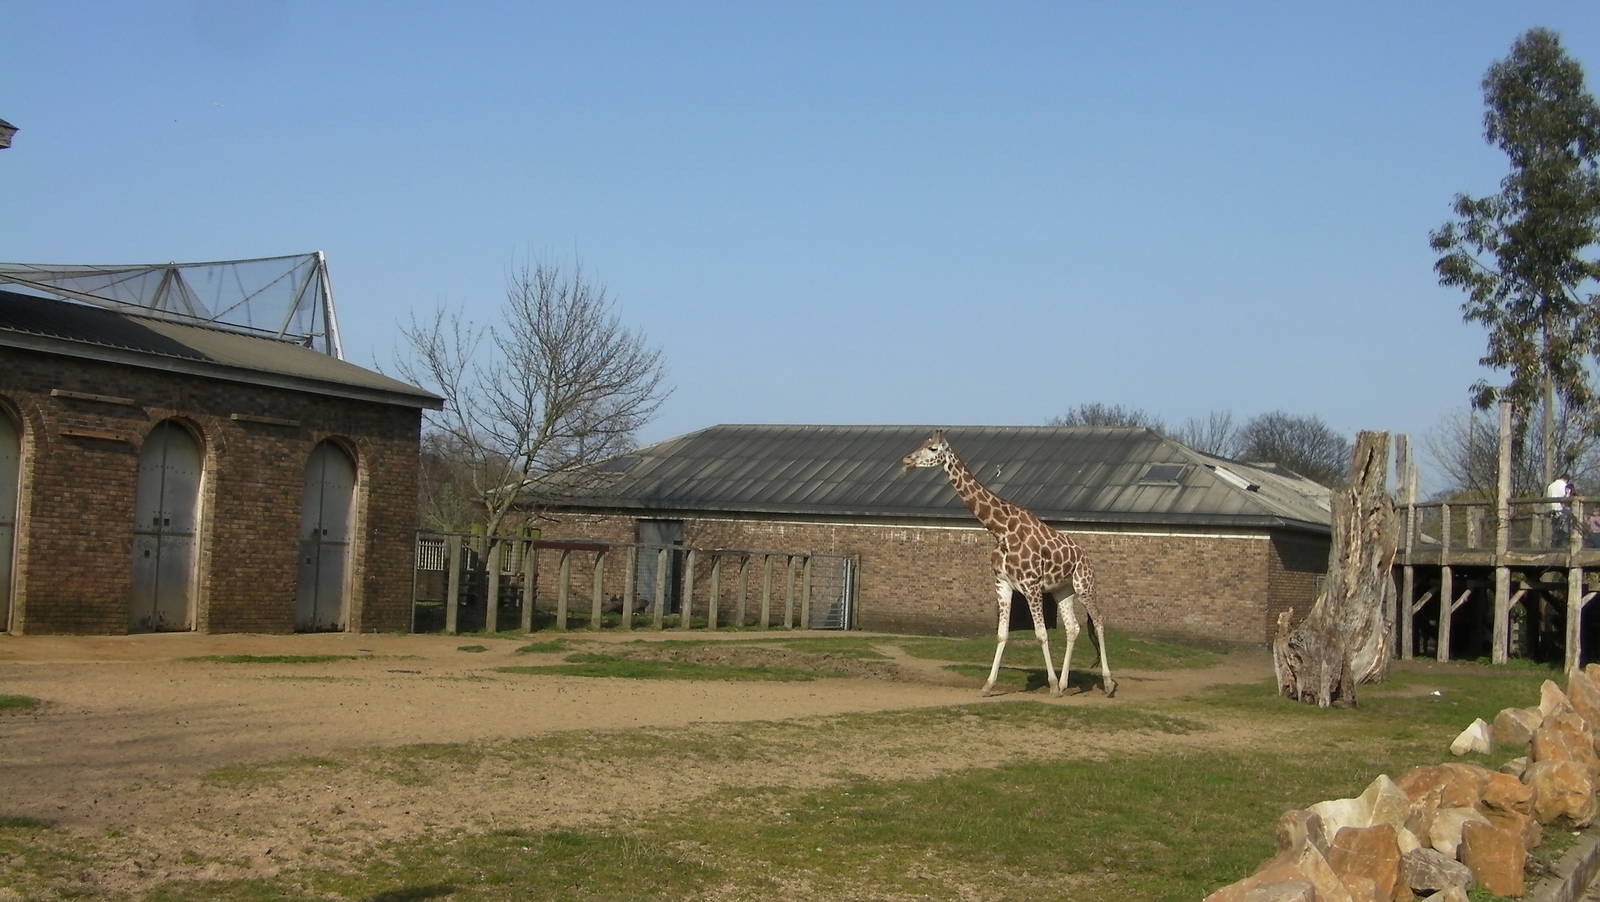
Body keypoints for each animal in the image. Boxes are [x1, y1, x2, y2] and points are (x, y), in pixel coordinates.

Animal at [901, 430, 1117, 698]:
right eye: (921, 443)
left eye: (933, 449)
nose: (907, 460)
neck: (1001, 530)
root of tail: (1087, 558)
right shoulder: (1002, 583)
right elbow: (1002, 635)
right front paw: (988, 686)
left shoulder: (1031, 585)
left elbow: (1041, 634)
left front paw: (1051, 685)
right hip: (1062, 591)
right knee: (1073, 628)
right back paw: (1065, 684)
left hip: (1084, 585)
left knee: (1098, 621)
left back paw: (1107, 684)